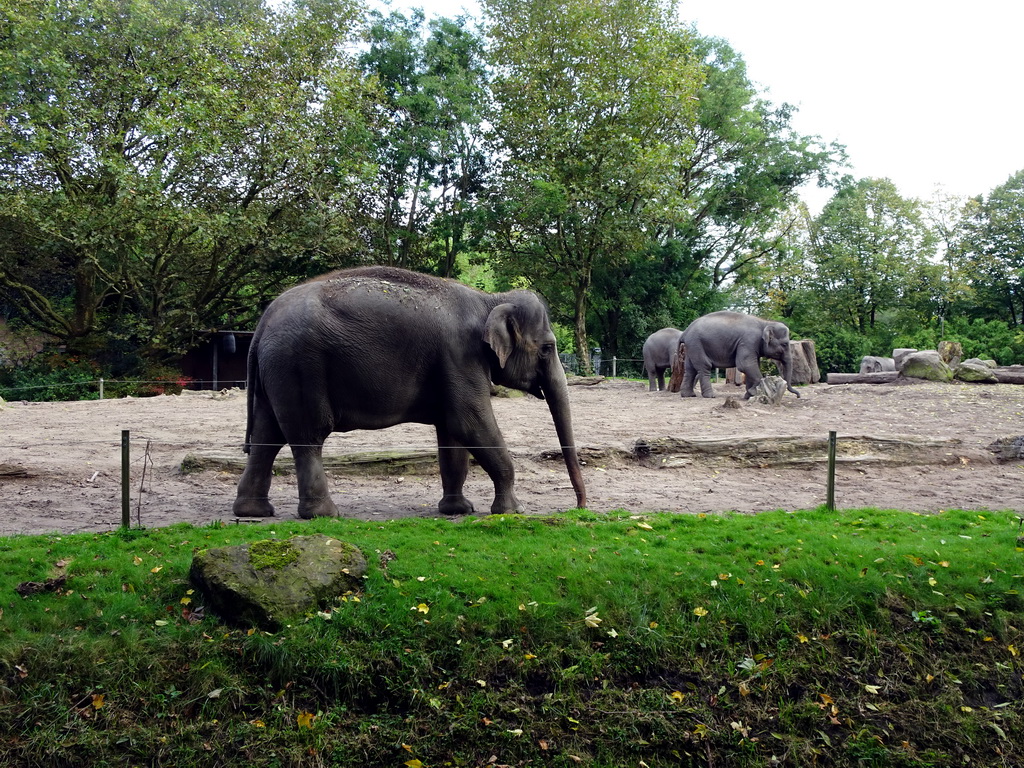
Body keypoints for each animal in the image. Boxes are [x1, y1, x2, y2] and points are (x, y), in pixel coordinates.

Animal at [230, 268, 585, 520]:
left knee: (266, 435)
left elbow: (452, 435)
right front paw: (513, 511)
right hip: (300, 366)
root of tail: (263, 321)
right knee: (307, 435)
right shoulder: (460, 356)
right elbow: (470, 423)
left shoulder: (452, 368)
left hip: (277, 370)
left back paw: (253, 513)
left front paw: (458, 510)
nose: (580, 507)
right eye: (547, 348)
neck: (489, 299)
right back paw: (323, 515)